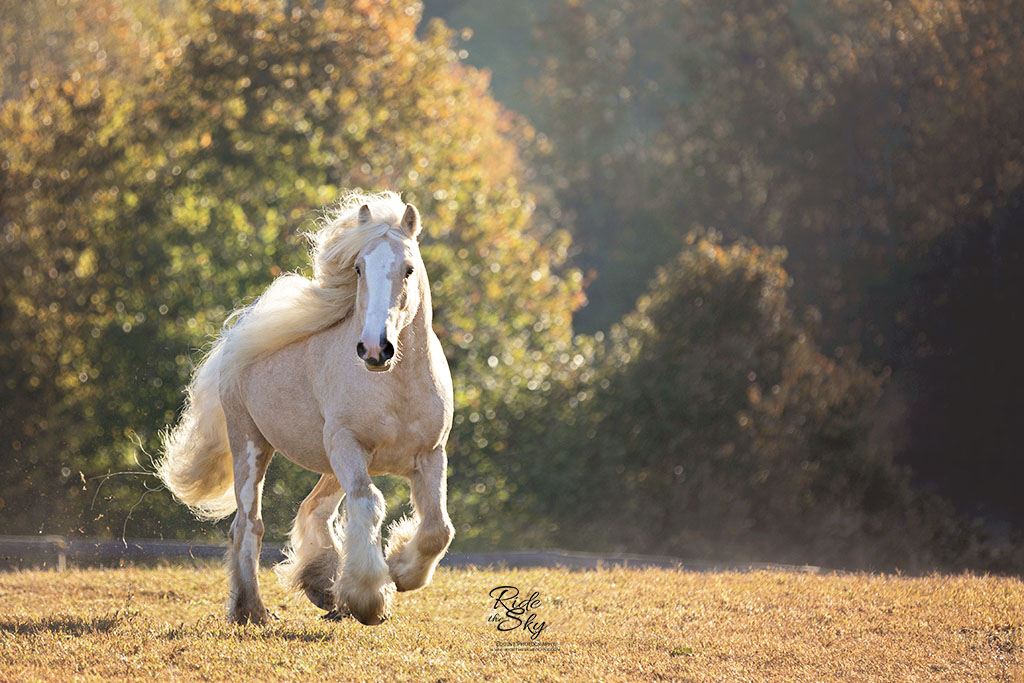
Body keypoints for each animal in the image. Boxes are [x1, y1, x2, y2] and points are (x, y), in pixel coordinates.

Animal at [155, 191, 452, 626]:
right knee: (248, 525)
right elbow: (369, 502)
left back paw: (321, 586)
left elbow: (437, 529)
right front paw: (369, 598)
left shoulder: (430, 455)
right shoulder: (347, 445)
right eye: (359, 268)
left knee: (313, 509)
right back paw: (252, 610)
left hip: (330, 462)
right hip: (252, 445)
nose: (375, 349)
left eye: (408, 269)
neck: (396, 387)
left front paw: (398, 570)